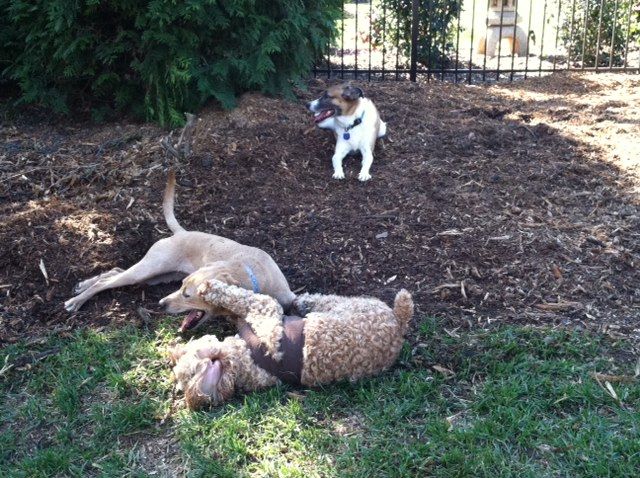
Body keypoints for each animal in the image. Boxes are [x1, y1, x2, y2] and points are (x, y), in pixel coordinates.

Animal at [65, 171, 296, 332]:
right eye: (182, 288)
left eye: (187, 294)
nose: (160, 304)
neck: (252, 273)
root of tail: (181, 233)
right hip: (150, 268)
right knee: (109, 280)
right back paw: (76, 301)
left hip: (156, 275)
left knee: (114, 272)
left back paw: (82, 286)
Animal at [168, 280, 412, 410]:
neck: (243, 360)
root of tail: (399, 322)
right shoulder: (266, 310)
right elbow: (243, 298)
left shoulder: (265, 310)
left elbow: (240, 299)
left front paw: (209, 289)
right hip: (348, 306)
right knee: (324, 299)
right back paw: (304, 302)